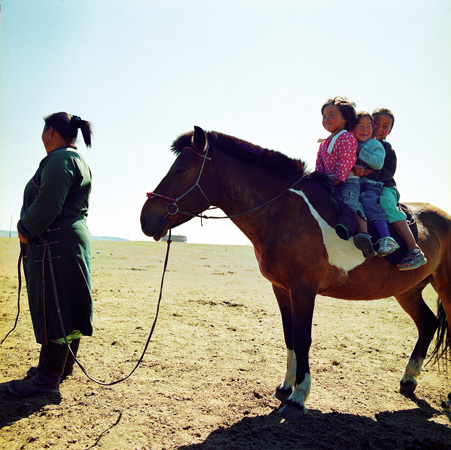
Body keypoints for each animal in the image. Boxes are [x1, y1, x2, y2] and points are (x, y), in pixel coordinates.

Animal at [140, 125, 451, 416]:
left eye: (180, 170)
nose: (145, 219)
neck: (285, 211)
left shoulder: (304, 289)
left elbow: (303, 338)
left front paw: (299, 395)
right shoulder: (281, 288)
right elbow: (289, 335)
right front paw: (286, 386)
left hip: (444, 287)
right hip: (408, 290)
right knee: (428, 324)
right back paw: (408, 380)